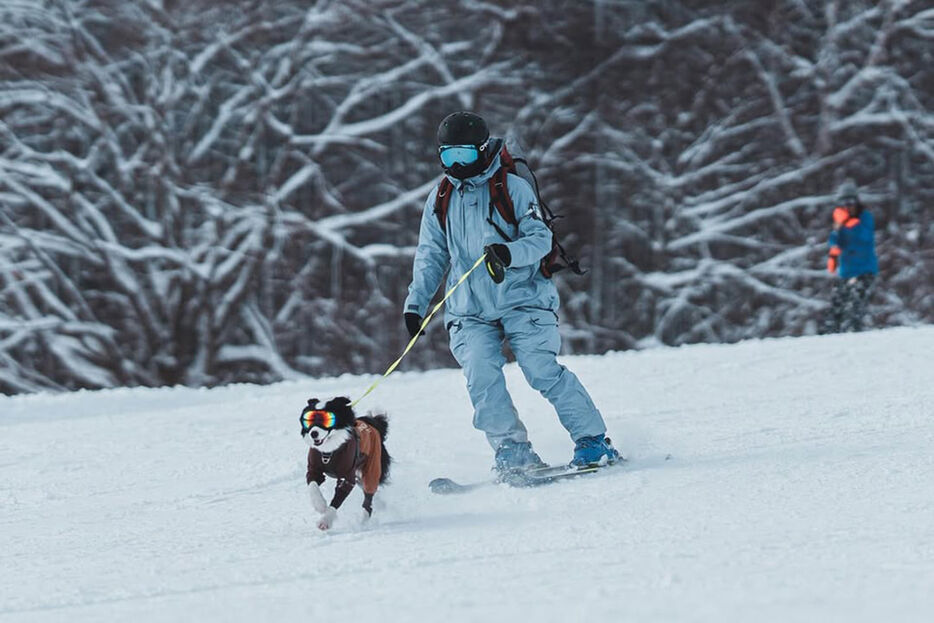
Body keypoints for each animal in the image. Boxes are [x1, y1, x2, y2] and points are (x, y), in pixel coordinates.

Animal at [304, 398, 392, 528]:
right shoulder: (314, 469)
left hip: (372, 467)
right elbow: (313, 486)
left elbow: (337, 500)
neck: (329, 452)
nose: (313, 433)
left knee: (368, 497)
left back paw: (363, 522)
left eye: (328, 419)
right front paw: (321, 506)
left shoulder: (347, 478)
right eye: (309, 419)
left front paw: (325, 521)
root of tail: (373, 423)